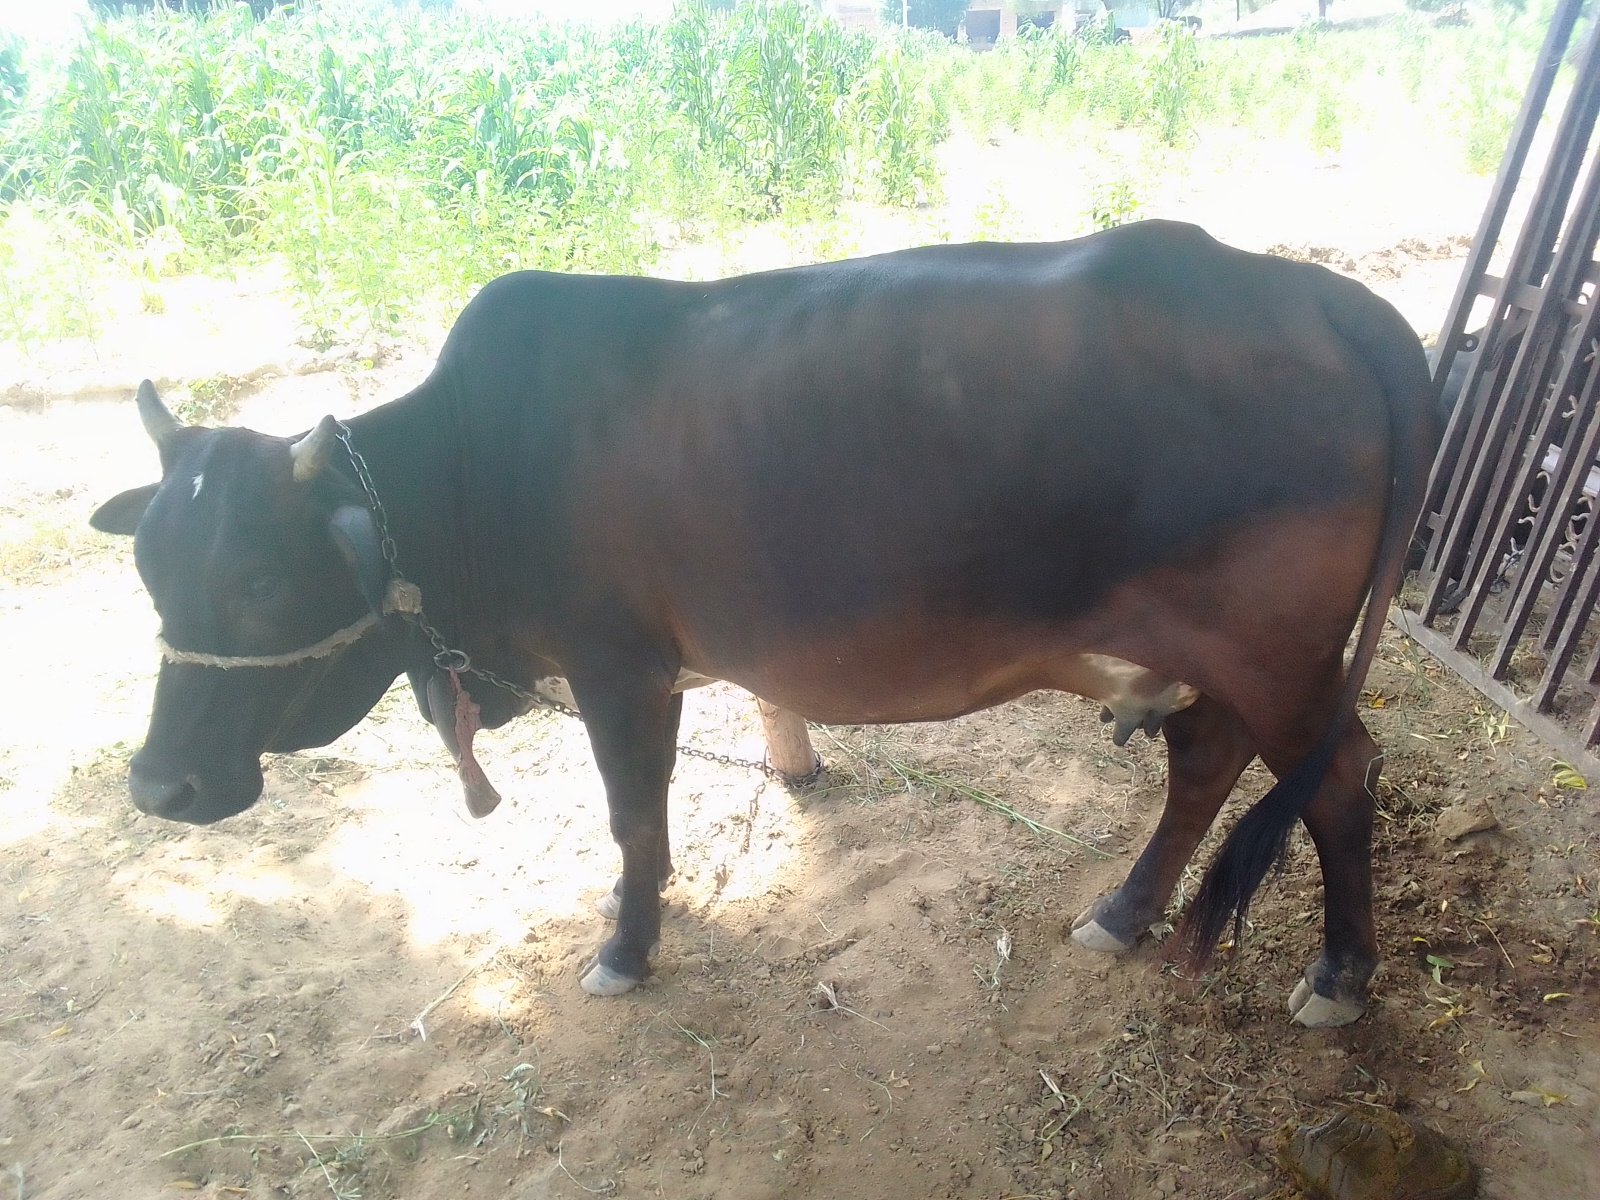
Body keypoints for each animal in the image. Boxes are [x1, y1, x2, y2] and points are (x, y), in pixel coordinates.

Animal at [91, 220, 1437, 1026]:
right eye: (149, 571)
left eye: (259, 578)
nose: (160, 786)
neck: (475, 467)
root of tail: (1312, 293)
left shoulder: (619, 669)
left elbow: (635, 824)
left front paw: (626, 948)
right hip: (1224, 659)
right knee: (1205, 759)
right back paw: (1121, 913)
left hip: (1277, 658)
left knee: (1339, 779)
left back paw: (1339, 974)